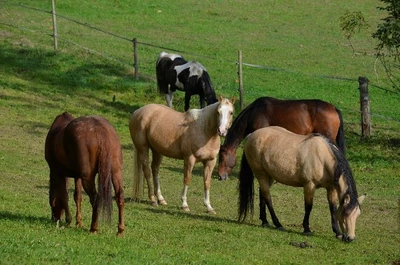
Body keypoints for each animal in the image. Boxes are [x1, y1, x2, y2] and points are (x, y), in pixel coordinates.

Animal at [238, 126, 366, 241]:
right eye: (346, 214)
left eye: (357, 214)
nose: (350, 238)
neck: (323, 158)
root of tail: (252, 135)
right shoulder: (309, 185)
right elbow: (308, 207)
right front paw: (307, 229)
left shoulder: (331, 188)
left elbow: (333, 208)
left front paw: (337, 232)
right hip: (261, 174)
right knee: (267, 197)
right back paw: (278, 224)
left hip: (268, 176)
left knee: (263, 195)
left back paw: (265, 221)